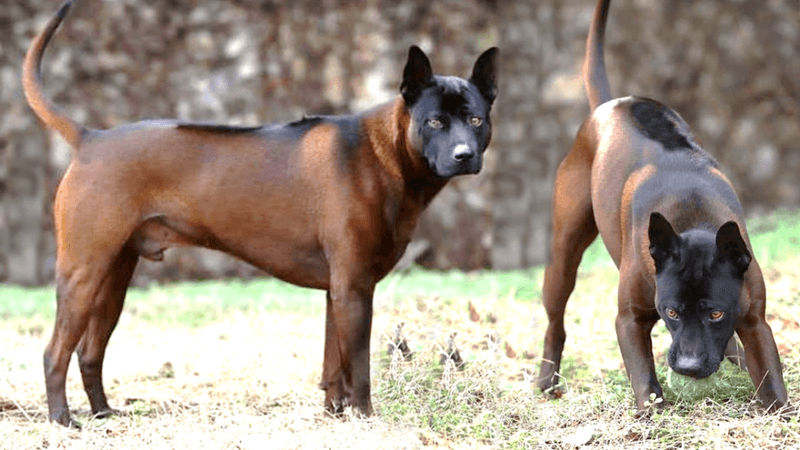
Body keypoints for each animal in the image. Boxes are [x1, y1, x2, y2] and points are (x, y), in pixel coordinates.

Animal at [23, 0, 500, 428]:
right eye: (435, 122)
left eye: (476, 120)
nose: (465, 156)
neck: (385, 155)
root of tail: (90, 138)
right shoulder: (354, 289)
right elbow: (360, 367)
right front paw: (367, 419)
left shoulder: (338, 291)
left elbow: (334, 367)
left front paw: (334, 416)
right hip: (83, 274)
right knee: (54, 353)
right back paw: (62, 419)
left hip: (114, 278)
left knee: (89, 352)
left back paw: (103, 412)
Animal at [536, 0, 788, 414]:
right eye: (671, 312)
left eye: (715, 312)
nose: (688, 366)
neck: (694, 217)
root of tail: (611, 102)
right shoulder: (629, 319)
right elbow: (645, 382)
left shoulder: (754, 321)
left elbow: (772, 385)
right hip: (563, 257)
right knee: (555, 323)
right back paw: (546, 380)